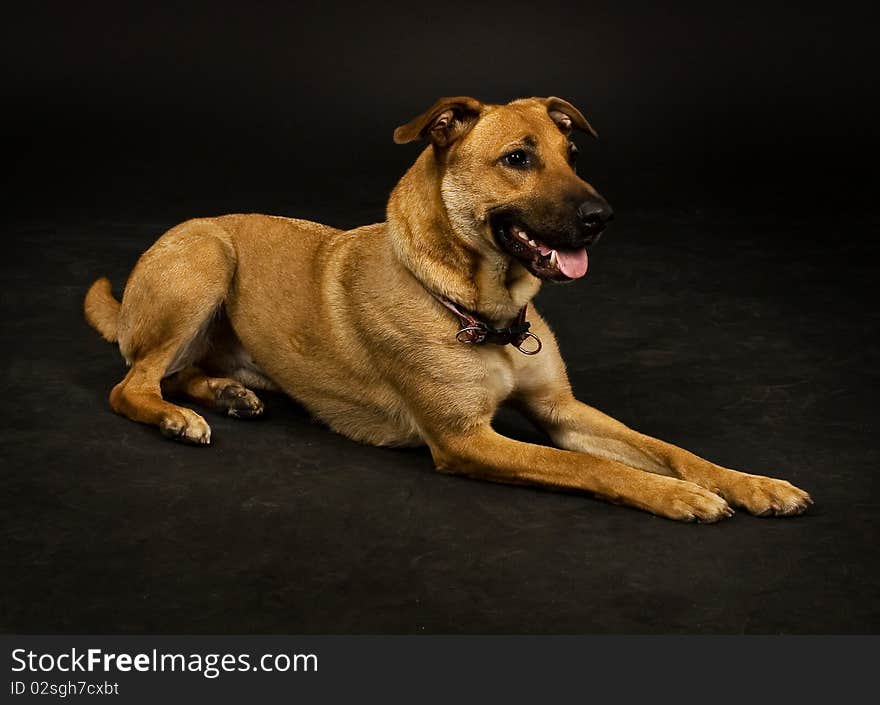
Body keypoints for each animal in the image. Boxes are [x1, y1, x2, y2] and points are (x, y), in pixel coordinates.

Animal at [84, 96, 812, 520]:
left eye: (573, 154)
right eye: (518, 158)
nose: (602, 217)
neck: (476, 307)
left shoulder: (562, 410)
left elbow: (664, 447)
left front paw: (749, 483)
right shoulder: (468, 439)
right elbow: (590, 465)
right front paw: (679, 496)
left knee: (178, 370)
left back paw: (227, 393)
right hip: (206, 258)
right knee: (133, 383)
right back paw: (177, 417)